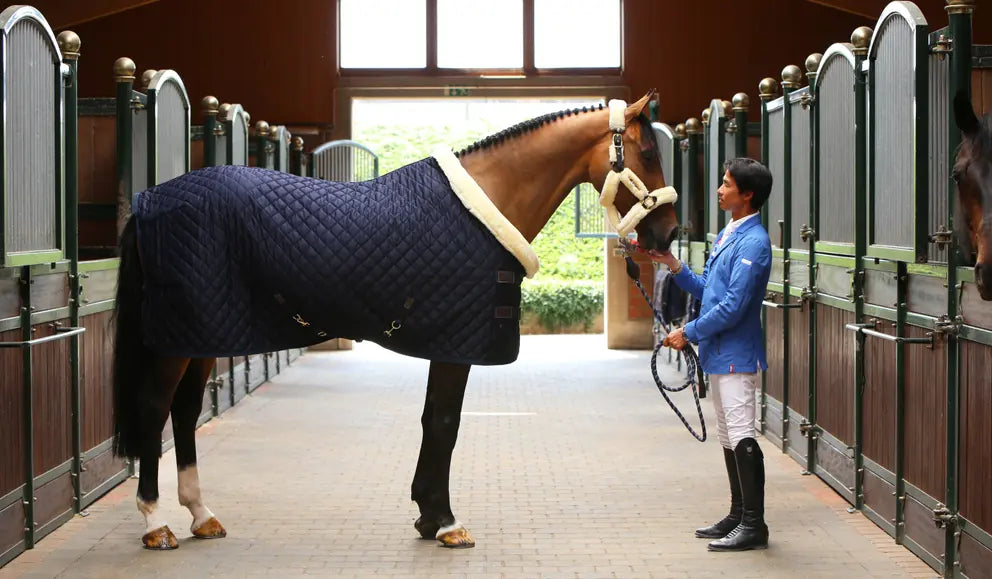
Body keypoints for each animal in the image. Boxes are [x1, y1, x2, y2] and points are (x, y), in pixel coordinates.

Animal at [110, 92, 680, 552]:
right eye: (649, 154)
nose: (670, 233)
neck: (484, 204)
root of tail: (149, 201)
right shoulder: (456, 345)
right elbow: (446, 423)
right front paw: (446, 522)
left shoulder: (446, 342)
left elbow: (433, 421)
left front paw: (427, 517)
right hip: (175, 342)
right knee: (154, 410)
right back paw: (155, 524)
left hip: (202, 335)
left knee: (184, 413)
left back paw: (201, 516)